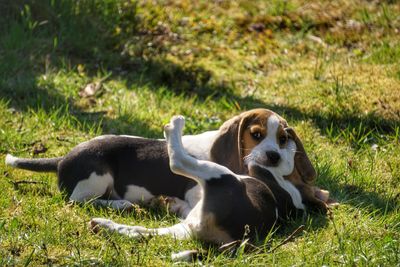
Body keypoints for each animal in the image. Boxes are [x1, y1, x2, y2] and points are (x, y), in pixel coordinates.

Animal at [3, 109, 328, 216]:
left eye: (284, 139)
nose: (274, 156)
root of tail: (62, 158)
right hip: (98, 175)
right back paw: (122, 204)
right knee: (79, 201)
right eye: (256, 135)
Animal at [89, 115, 324, 247]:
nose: (274, 154)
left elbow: (286, 160)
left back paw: (175, 126)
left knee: (178, 161)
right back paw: (105, 224)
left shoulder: (261, 168)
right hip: (183, 228)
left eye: (282, 138)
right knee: (140, 232)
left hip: (218, 174)